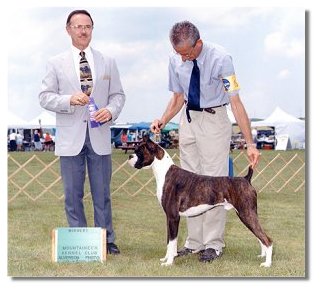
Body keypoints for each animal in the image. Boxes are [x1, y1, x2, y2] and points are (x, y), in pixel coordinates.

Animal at [126, 136, 272, 268]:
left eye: (139, 151)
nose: (129, 156)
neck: (164, 172)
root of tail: (246, 179)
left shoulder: (173, 218)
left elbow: (172, 242)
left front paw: (169, 263)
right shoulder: (169, 218)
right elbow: (169, 242)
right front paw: (166, 258)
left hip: (246, 214)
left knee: (267, 239)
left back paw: (267, 264)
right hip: (249, 215)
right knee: (260, 237)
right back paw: (262, 256)